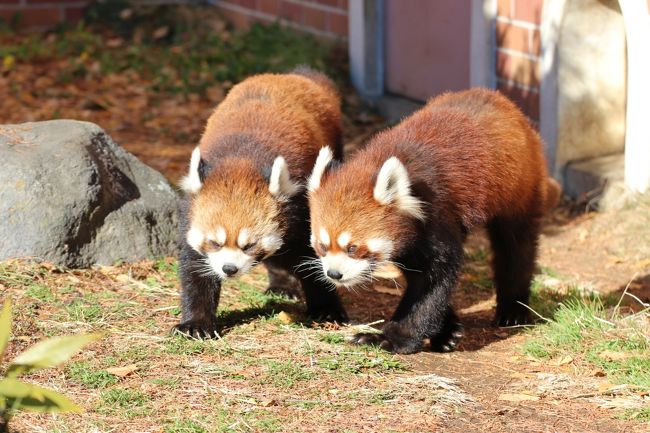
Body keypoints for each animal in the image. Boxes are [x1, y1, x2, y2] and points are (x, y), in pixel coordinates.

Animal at [172, 68, 344, 338]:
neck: (241, 162)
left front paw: (327, 309)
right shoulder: (191, 214)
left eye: (249, 245)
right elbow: (195, 270)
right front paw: (196, 323)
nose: (229, 269)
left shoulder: (300, 207)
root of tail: (290, 76)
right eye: (215, 243)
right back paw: (282, 285)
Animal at [308, 88, 556, 354]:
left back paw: (513, 309)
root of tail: (500, 100)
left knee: (516, 246)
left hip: (520, 186)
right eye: (322, 246)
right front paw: (447, 330)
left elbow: (432, 280)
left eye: (352, 248)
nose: (334, 274)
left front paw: (391, 338)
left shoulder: (436, 212)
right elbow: (422, 277)